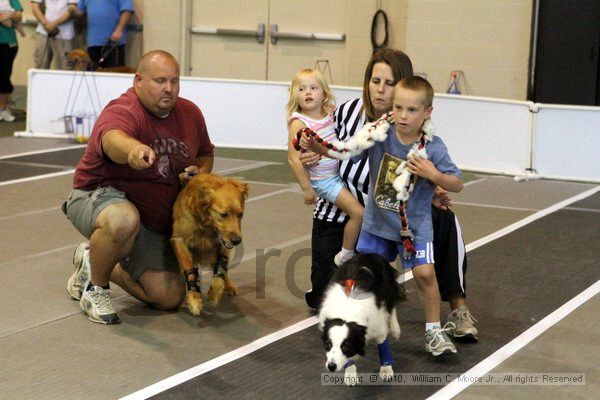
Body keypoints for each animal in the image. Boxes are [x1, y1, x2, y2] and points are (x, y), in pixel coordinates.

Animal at [171, 173, 248, 318]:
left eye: (240, 214)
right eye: (223, 214)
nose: (237, 241)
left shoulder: (223, 243)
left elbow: (221, 269)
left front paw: (214, 293)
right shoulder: (179, 239)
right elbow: (189, 270)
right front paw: (194, 299)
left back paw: (229, 286)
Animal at [318, 255, 404, 386]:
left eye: (346, 347)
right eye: (327, 344)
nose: (331, 366)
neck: (346, 311)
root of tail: (370, 254)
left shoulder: (378, 327)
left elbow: (383, 345)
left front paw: (386, 369)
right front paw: (350, 374)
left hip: (388, 290)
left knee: (392, 306)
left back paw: (395, 330)